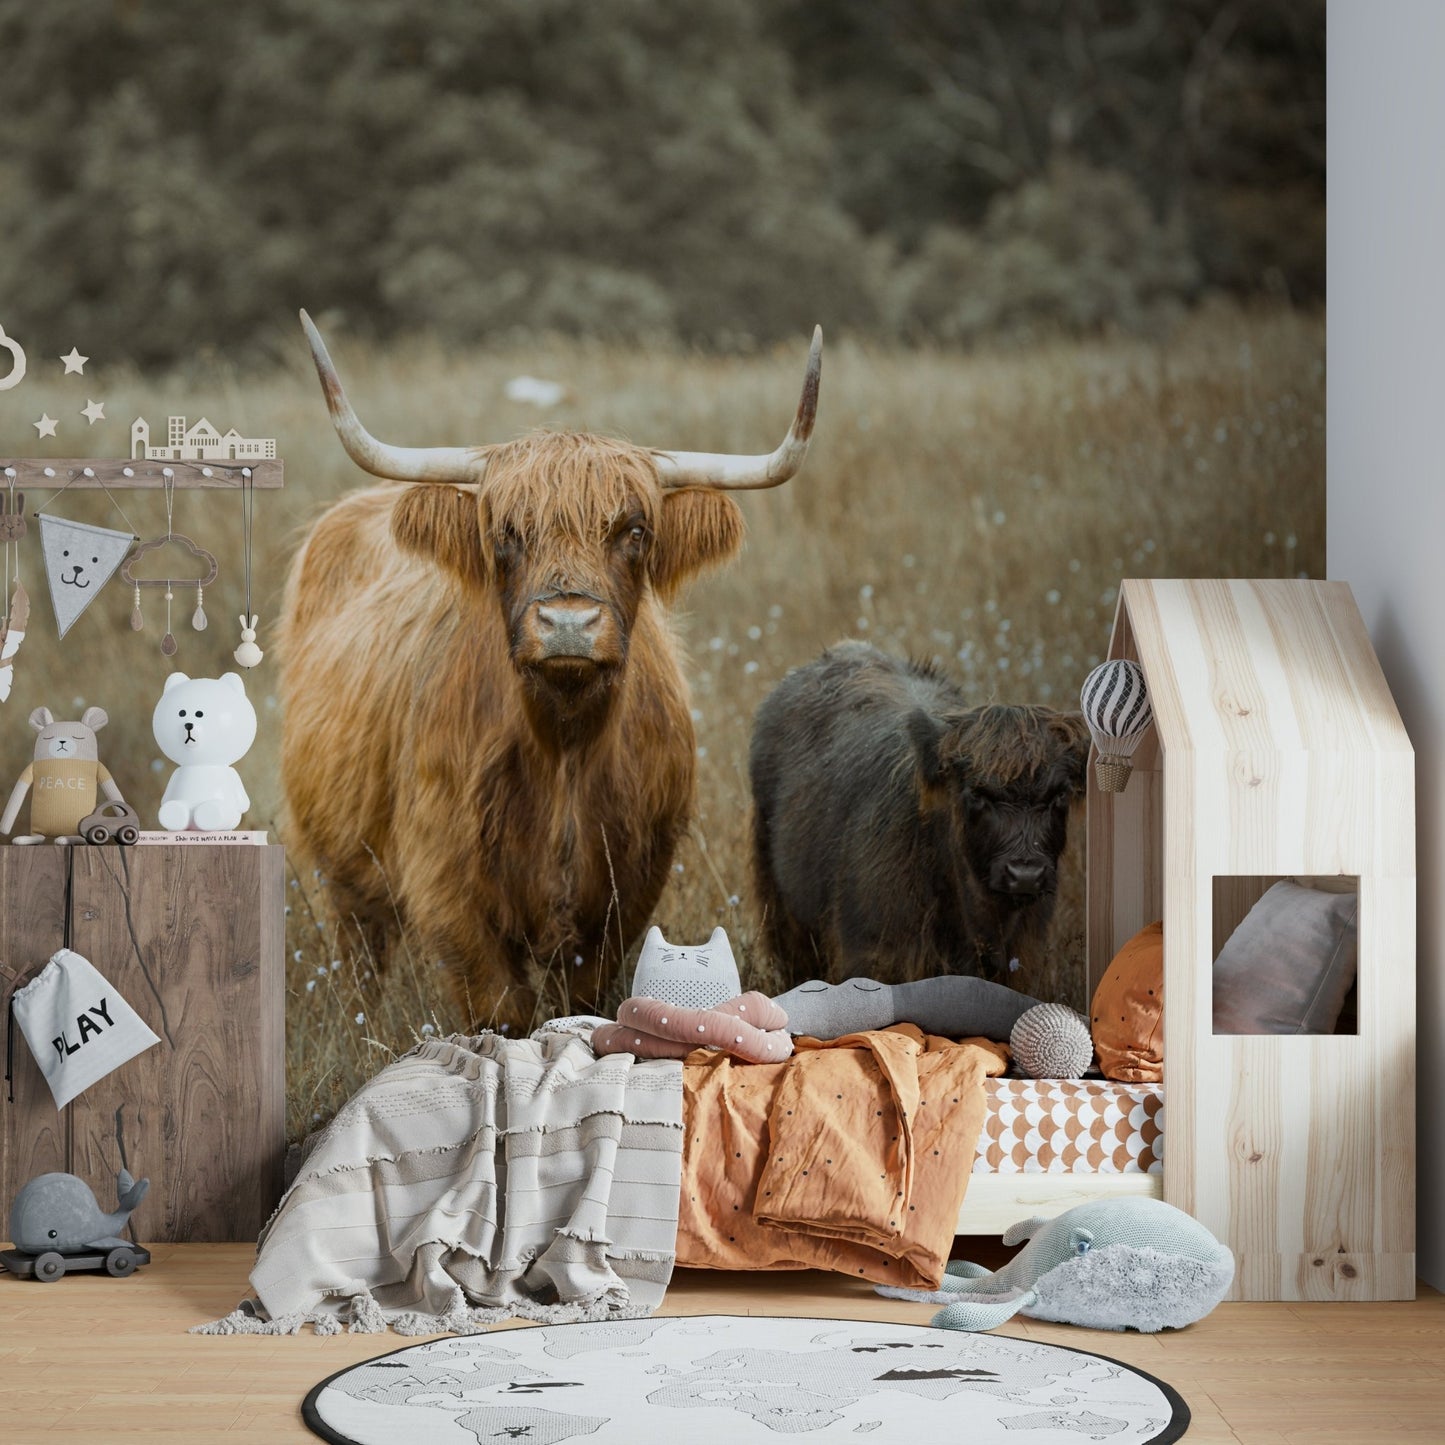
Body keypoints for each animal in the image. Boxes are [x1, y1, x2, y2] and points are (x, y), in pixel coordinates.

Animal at [280, 310, 821, 1029]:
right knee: (360, 952)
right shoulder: (451, 892)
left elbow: (580, 999)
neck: (564, 749)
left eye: (635, 530)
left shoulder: (626, 893)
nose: (568, 622)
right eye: (505, 532)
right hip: (340, 865)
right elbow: (500, 1010)